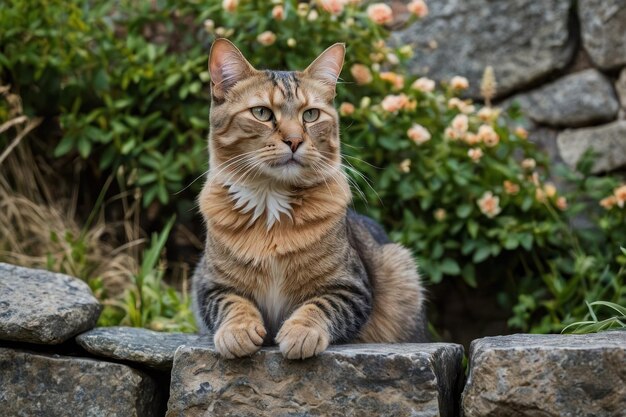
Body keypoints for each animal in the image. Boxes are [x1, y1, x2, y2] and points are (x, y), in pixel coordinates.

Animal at [191, 39, 424, 358]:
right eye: (262, 113)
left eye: (310, 115)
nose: (294, 141)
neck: (270, 207)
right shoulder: (209, 283)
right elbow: (232, 302)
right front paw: (238, 330)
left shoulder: (351, 287)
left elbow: (320, 305)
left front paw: (301, 332)